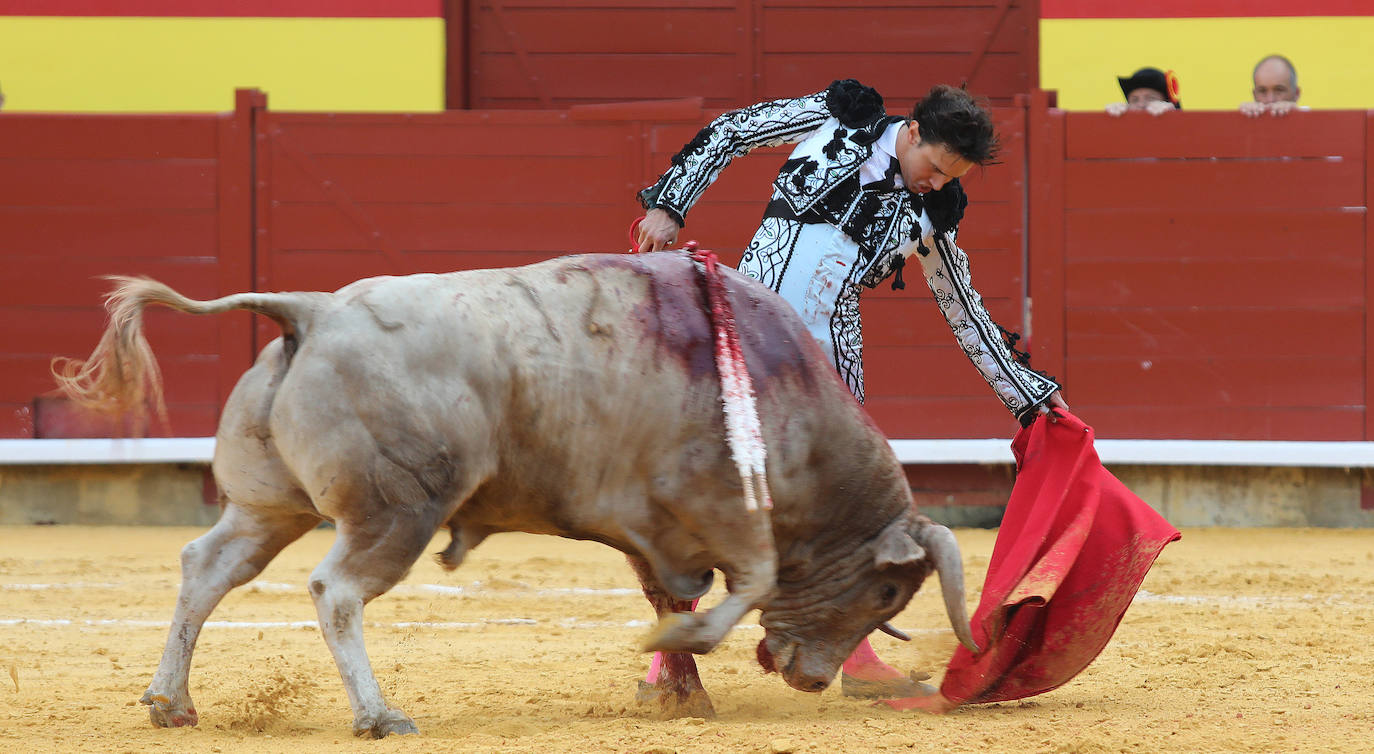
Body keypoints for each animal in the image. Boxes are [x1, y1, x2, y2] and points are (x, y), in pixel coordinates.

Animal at [56, 251, 978, 736]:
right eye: (888, 590)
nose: (815, 681)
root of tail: (312, 311)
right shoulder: (721, 510)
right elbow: (744, 586)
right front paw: (682, 647)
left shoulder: (657, 534)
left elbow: (677, 589)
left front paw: (684, 692)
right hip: (397, 512)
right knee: (336, 590)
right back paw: (378, 715)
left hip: (267, 506)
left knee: (207, 568)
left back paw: (171, 701)